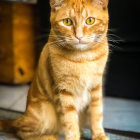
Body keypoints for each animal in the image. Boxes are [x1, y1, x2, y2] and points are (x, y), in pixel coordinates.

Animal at [0, 0, 109, 139]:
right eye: (67, 22)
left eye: (90, 20)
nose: (79, 36)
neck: (82, 58)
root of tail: (21, 117)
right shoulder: (63, 92)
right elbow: (70, 121)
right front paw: (73, 136)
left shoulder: (96, 87)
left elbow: (96, 114)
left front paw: (99, 135)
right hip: (45, 114)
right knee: (21, 131)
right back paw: (50, 137)